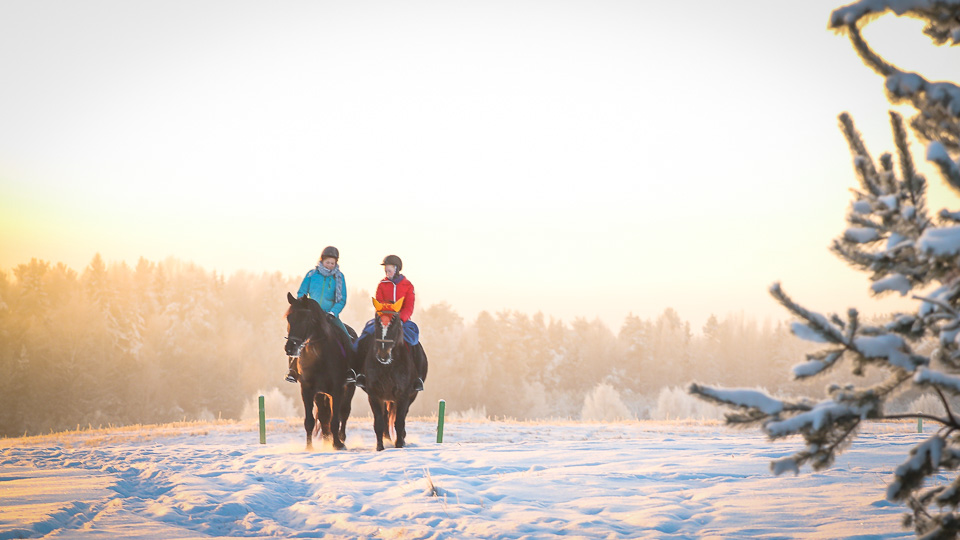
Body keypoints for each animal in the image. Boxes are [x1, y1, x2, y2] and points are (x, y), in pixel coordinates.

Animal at [288, 294, 360, 450]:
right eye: (289, 318)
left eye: (305, 319)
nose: (289, 347)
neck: (318, 355)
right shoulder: (307, 390)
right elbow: (310, 421)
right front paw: (309, 447)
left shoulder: (337, 389)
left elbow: (336, 419)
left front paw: (338, 444)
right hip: (321, 394)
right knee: (323, 415)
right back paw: (327, 440)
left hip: (349, 388)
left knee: (344, 412)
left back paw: (341, 438)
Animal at [356, 298, 428, 450]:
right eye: (377, 322)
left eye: (394, 323)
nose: (383, 355)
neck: (388, 366)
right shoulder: (374, 395)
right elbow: (379, 422)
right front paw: (380, 447)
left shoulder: (404, 395)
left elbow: (399, 421)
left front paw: (399, 444)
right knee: (385, 416)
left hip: (411, 395)